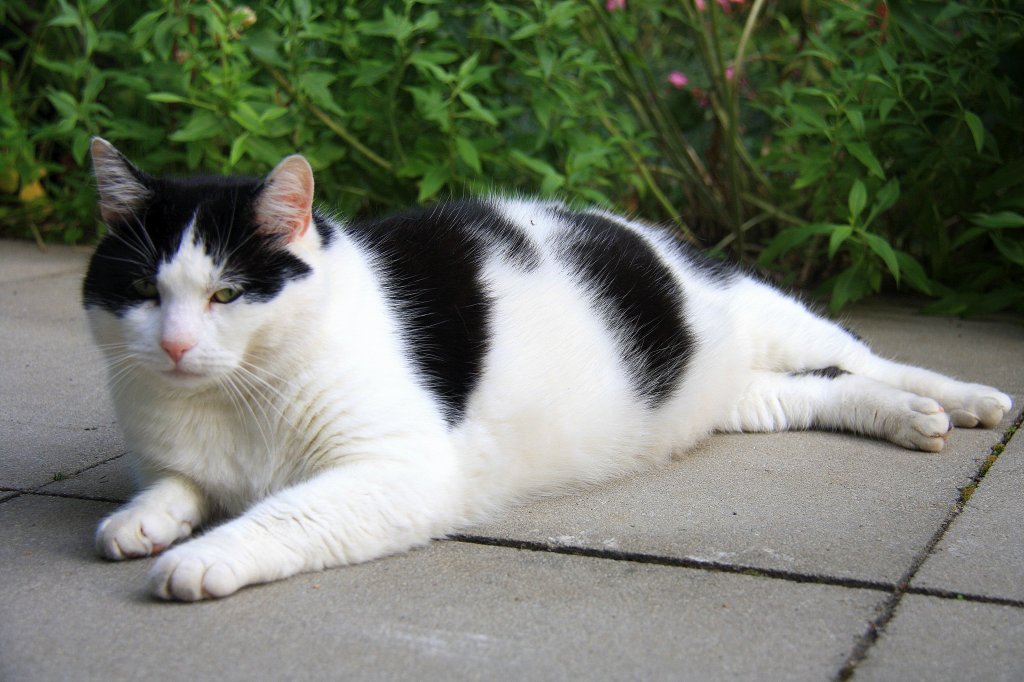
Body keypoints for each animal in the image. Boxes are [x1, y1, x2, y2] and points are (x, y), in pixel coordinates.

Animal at [83, 138, 1011, 602]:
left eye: (228, 292)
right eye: (141, 291)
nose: (173, 346)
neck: (232, 401)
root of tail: (643, 227)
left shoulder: (398, 470)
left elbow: (281, 516)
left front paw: (203, 557)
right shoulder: (180, 458)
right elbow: (174, 486)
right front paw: (141, 521)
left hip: (773, 316)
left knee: (869, 358)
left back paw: (963, 403)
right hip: (742, 399)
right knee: (820, 394)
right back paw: (907, 420)